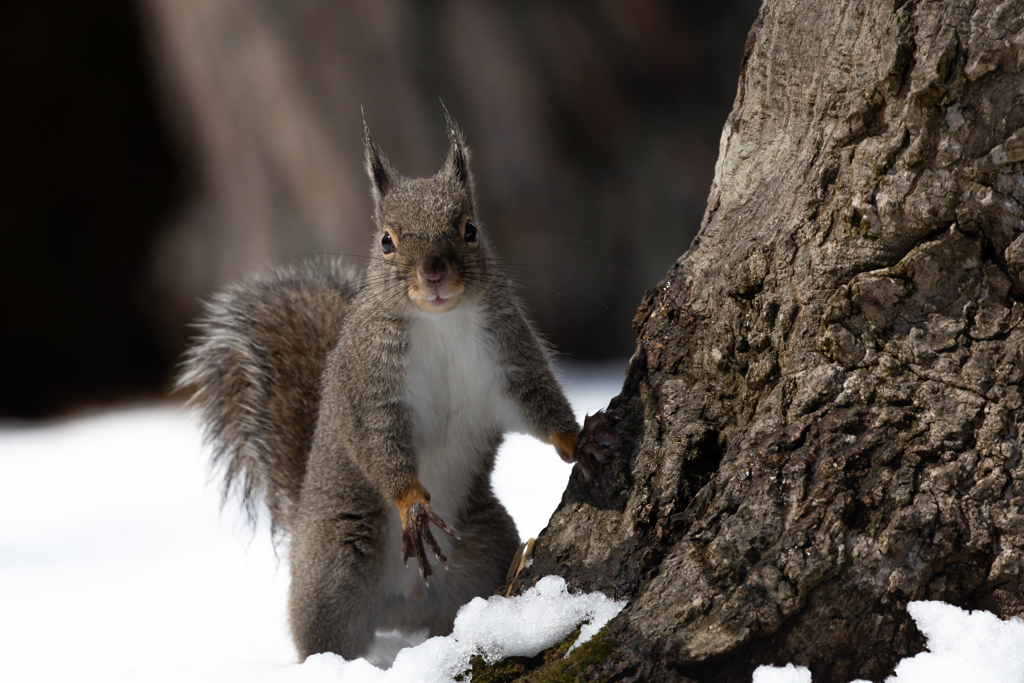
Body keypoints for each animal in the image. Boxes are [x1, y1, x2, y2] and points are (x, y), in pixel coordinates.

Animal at [178, 116, 614, 663]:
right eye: (386, 241)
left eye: (470, 230)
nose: (434, 272)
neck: (440, 324)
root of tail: (401, 609)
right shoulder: (370, 385)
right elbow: (378, 442)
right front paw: (413, 507)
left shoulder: (508, 363)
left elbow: (537, 403)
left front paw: (579, 440)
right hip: (333, 570)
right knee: (325, 637)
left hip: (481, 548)